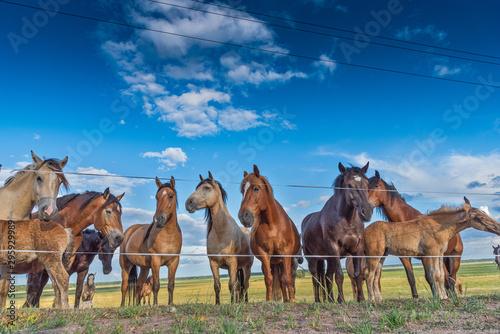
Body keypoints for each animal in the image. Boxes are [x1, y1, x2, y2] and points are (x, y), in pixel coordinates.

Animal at [186, 174, 252, 304]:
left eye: (206, 187)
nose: (188, 203)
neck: (222, 232)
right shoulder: (214, 264)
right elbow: (217, 285)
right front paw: (218, 304)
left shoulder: (232, 263)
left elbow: (231, 285)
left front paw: (232, 304)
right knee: (239, 286)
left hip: (247, 267)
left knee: (245, 285)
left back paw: (245, 302)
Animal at [238, 164, 300, 302]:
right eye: (242, 191)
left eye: (256, 188)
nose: (243, 216)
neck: (273, 226)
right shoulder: (264, 253)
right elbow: (268, 279)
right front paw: (269, 300)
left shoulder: (286, 252)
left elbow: (287, 278)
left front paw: (292, 301)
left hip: (281, 261)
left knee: (283, 279)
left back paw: (287, 300)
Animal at [300, 162, 376, 302]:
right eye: (349, 184)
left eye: (367, 184)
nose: (366, 212)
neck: (347, 220)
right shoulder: (334, 248)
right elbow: (339, 275)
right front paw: (341, 300)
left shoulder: (357, 249)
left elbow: (358, 275)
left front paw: (361, 299)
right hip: (313, 259)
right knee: (316, 279)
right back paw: (318, 301)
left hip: (328, 259)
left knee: (327, 277)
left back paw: (330, 300)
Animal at [364, 197, 500, 302]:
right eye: (480, 218)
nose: (498, 227)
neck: (438, 226)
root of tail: (365, 231)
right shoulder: (432, 253)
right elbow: (435, 275)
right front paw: (440, 297)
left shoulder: (439, 253)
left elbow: (441, 275)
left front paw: (444, 296)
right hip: (373, 255)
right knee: (369, 275)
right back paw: (372, 300)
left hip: (382, 256)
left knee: (376, 276)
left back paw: (380, 299)